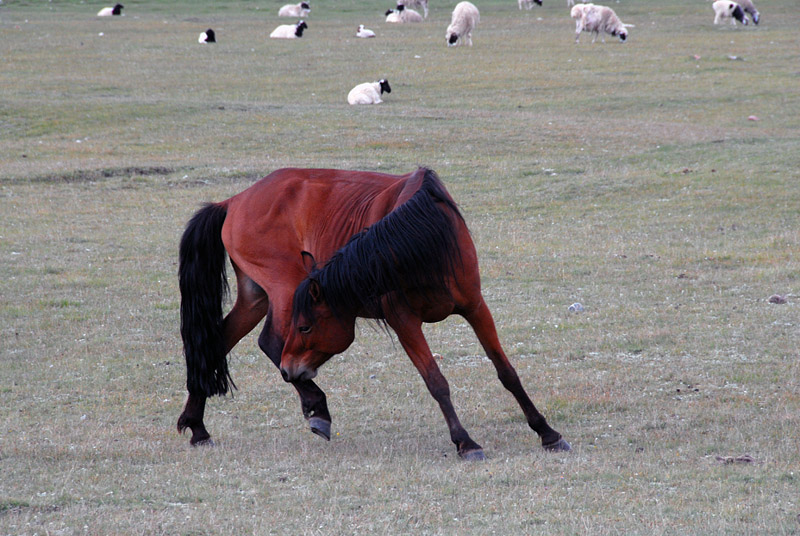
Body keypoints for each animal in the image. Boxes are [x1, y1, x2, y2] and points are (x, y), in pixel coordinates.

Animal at [179, 166, 572, 456]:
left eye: (306, 328)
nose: (290, 372)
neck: (426, 241)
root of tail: (234, 200)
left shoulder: (476, 308)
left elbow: (506, 372)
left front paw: (547, 432)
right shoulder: (404, 322)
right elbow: (436, 382)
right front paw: (465, 442)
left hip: (257, 297)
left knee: (217, 344)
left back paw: (198, 426)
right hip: (283, 290)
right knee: (269, 343)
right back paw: (316, 407)